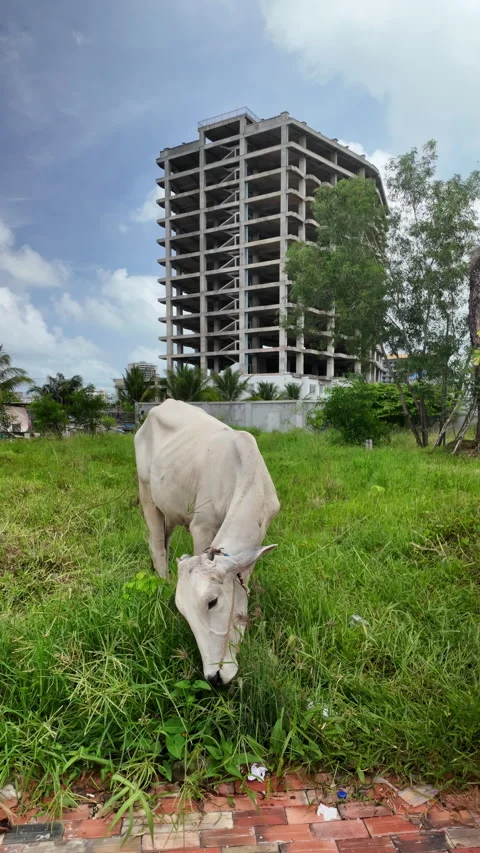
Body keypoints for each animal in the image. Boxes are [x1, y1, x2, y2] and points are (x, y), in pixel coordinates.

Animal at [134, 399, 280, 685]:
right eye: (183, 612)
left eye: (212, 602)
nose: (214, 677)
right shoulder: (201, 527)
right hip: (146, 493)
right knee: (156, 545)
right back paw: (162, 580)